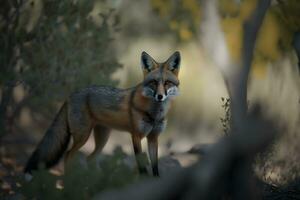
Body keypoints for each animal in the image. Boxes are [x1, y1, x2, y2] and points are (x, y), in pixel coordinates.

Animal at [24, 50, 180, 176]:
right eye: (154, 82)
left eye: (167, 83)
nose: (160, 96)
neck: (155, 113)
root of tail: (71, 95)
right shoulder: (136, 136)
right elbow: (142, 168)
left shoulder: (153, 138)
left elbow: (155, 169)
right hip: (83, 136)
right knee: (68, 155)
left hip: (102, 139)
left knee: (89, 158)